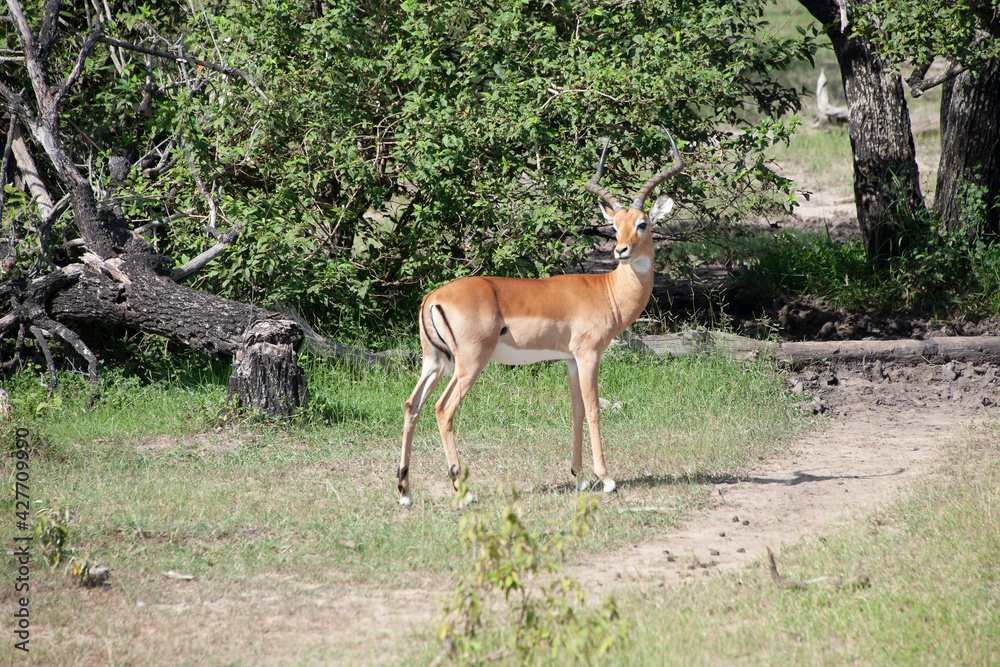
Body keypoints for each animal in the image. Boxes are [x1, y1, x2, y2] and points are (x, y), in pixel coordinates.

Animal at [397, 133, 683, 505]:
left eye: (642, 223)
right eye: (614, 225)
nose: (620, 251)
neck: (606, 291)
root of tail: (433, 298)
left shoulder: (571, 360)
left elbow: (576, 410)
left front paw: (579, 478)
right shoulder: (589, 355)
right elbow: (594, 409)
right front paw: (606, 479)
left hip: (434, 361)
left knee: (411, 405)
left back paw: (404, 491)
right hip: (469, 362)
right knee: (443, 410)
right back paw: (463, 490)